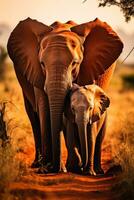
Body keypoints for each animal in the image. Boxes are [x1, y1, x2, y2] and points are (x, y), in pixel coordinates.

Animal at [6, 17, 123, 173]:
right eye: (42, 64)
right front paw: (49, 169)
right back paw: (38, 164)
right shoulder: (36, 72)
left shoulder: (92, 67)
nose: (54, 167)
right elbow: (45, 110)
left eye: (75, 63)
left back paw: (97, 171)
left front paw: (80, 169)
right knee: (34, 118)